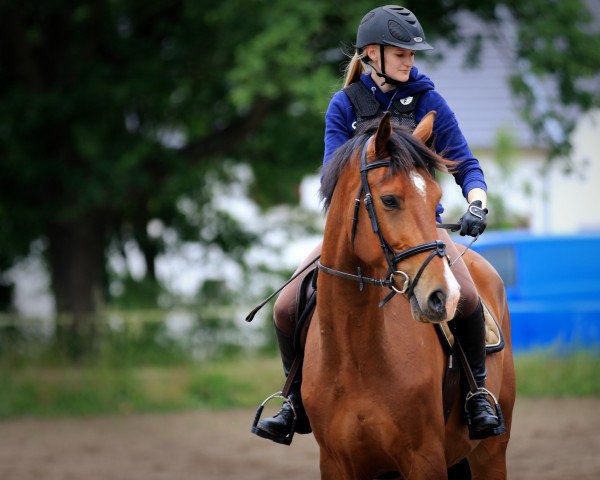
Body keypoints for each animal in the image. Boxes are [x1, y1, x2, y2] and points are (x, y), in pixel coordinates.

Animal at [302, 113, 516, 480]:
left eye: (434, 198)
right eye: (390, 200)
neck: (355, 357)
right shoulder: (335, 463)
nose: (444, 296)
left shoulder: (424, 459)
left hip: (491, 452)